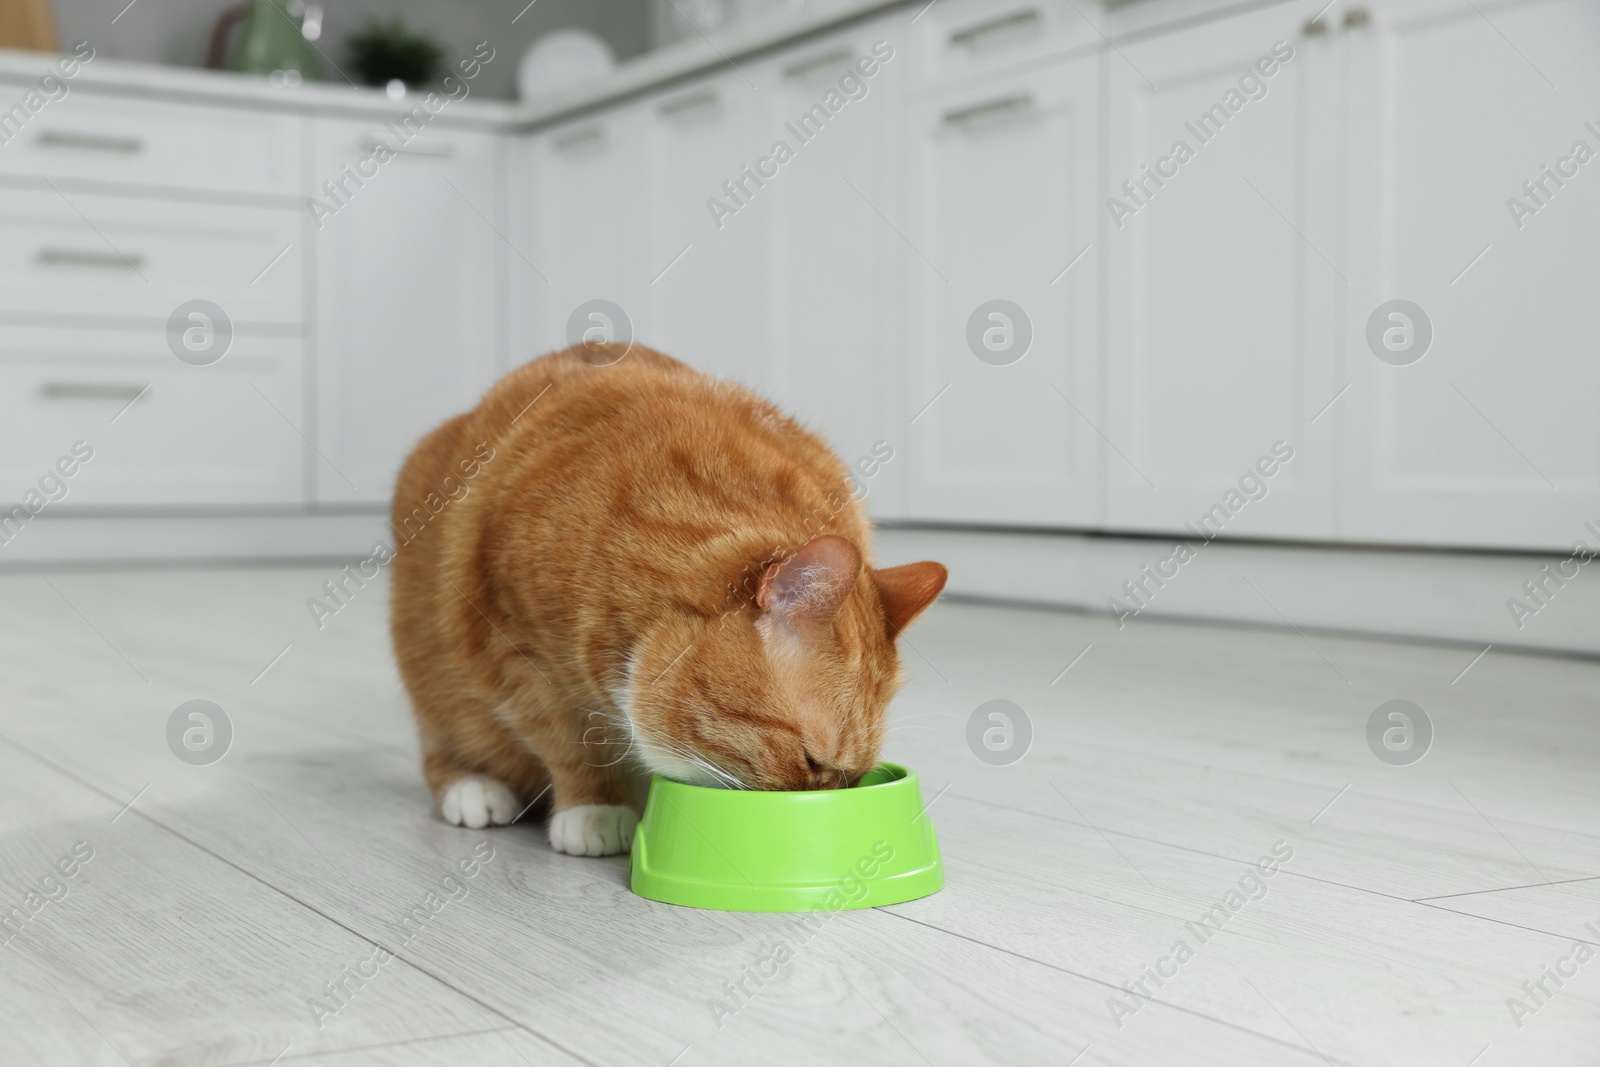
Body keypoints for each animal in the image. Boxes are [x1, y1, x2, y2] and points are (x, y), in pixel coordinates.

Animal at [388, 350, 940, 857]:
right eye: (811, 761)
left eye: (855, 777)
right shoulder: (515, 651)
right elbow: (570, 741)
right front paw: (596, 806)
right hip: (434, 675)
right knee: (442, 746)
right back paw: (473, 788)